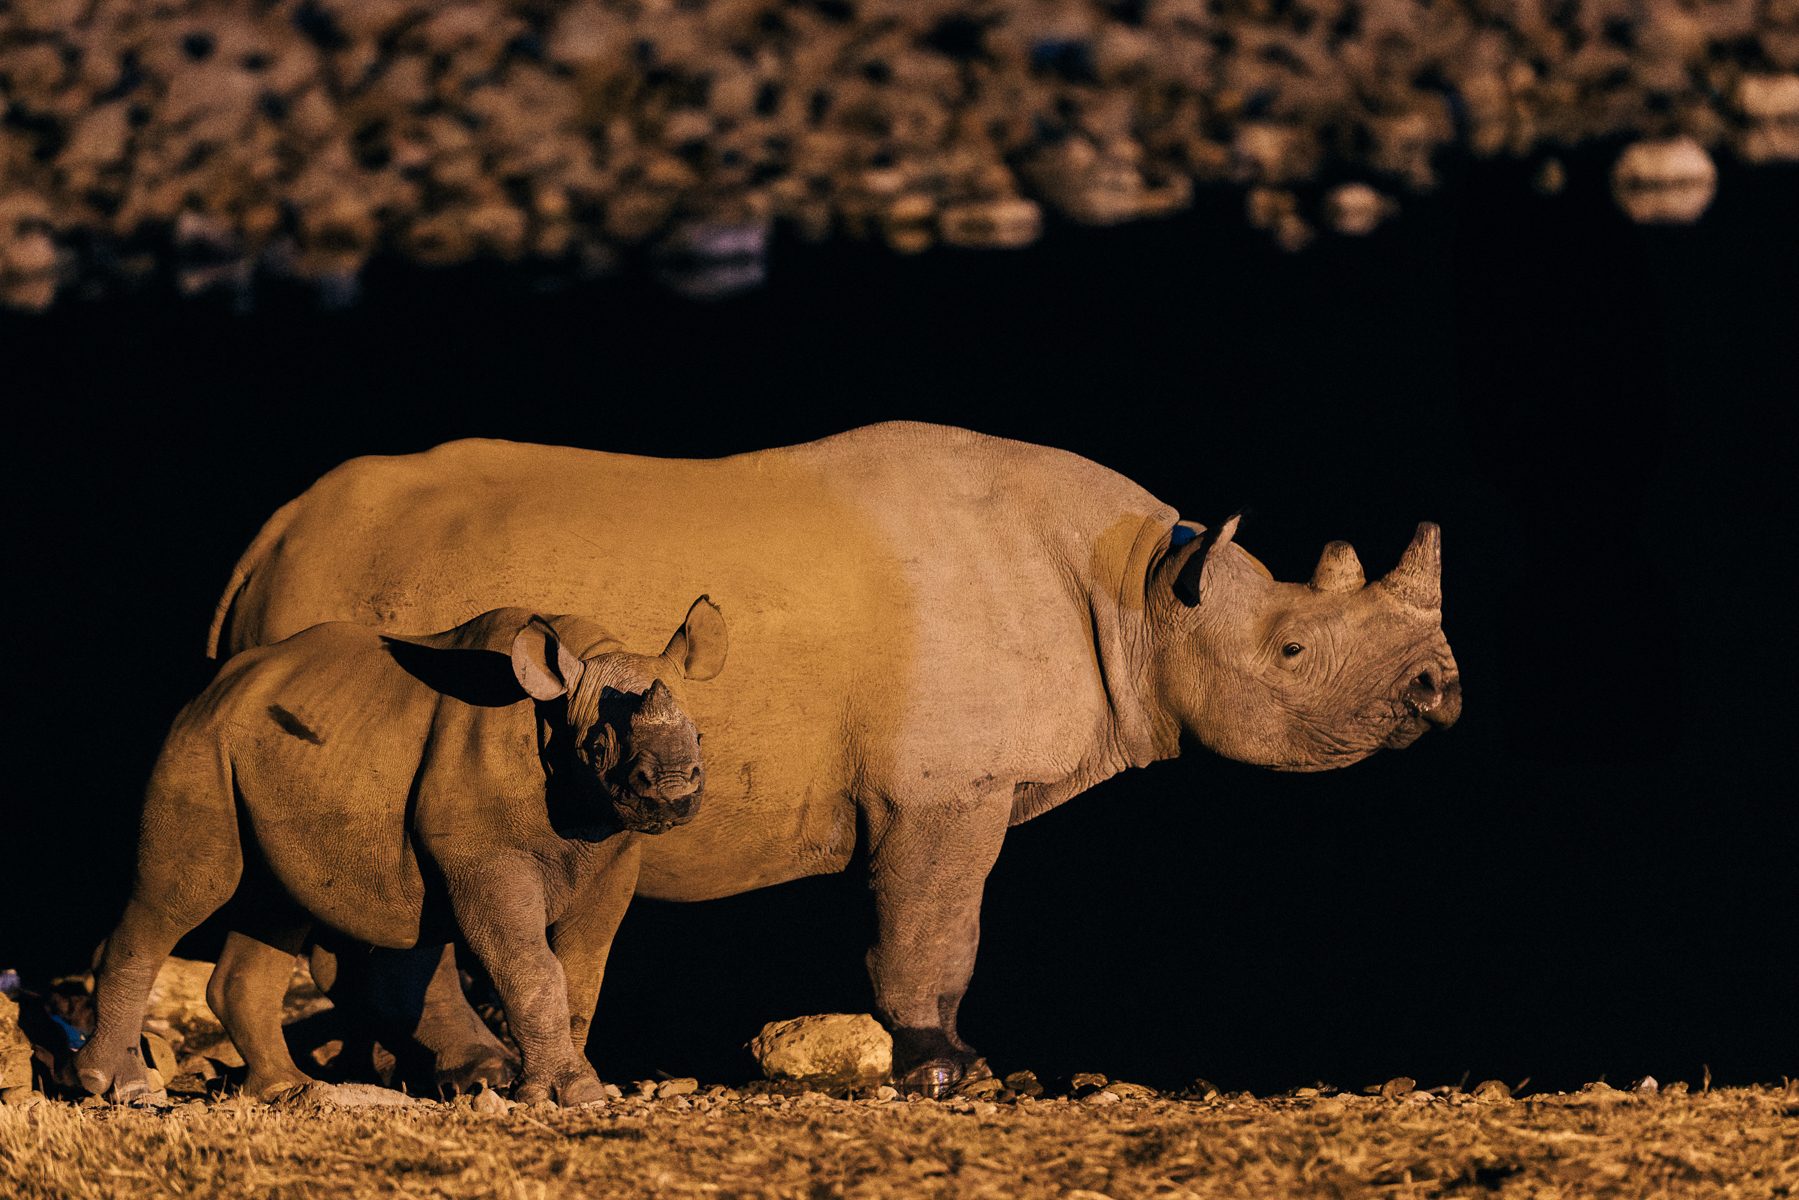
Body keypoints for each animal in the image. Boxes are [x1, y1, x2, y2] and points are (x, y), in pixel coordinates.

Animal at [78, 600, 727, 1106]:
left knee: (276, 903)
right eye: (598, 747)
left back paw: (288, 1088)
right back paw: (121, 1088)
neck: (555, 716)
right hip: (198, 741)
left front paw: (579, 1088)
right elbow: (533, 967)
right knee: (187, 889)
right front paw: (562, 1093)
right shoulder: (482, 854)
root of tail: (212, 688)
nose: (674, 792)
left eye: (700, 737)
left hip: (271, 751)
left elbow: (583, 973)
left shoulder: (611, 854)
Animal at [205, 422, 1460, 1095]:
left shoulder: (953, 786)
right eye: (1291, 648)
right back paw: (467, 1072)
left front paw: (948, 1063)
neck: (1140, 589)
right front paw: (945, 1067)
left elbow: (940, 928)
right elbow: (933, 927)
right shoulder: (943, 791)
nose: (1436, 690)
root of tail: (267, 538)